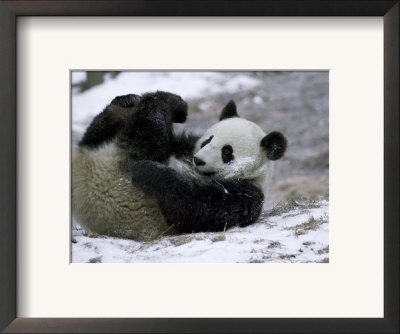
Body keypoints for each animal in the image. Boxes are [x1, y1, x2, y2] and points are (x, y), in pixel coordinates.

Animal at [71, 91, 284, 240]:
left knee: (145, 135)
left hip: (120, 158)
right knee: (97, 134)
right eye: (207, 141)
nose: (199, 160)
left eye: (227, 152)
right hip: (100, 147)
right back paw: (125, 103)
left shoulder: (246, 193)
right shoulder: (185, 146)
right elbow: (175, 144)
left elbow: (193, 206)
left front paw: (147, 171)